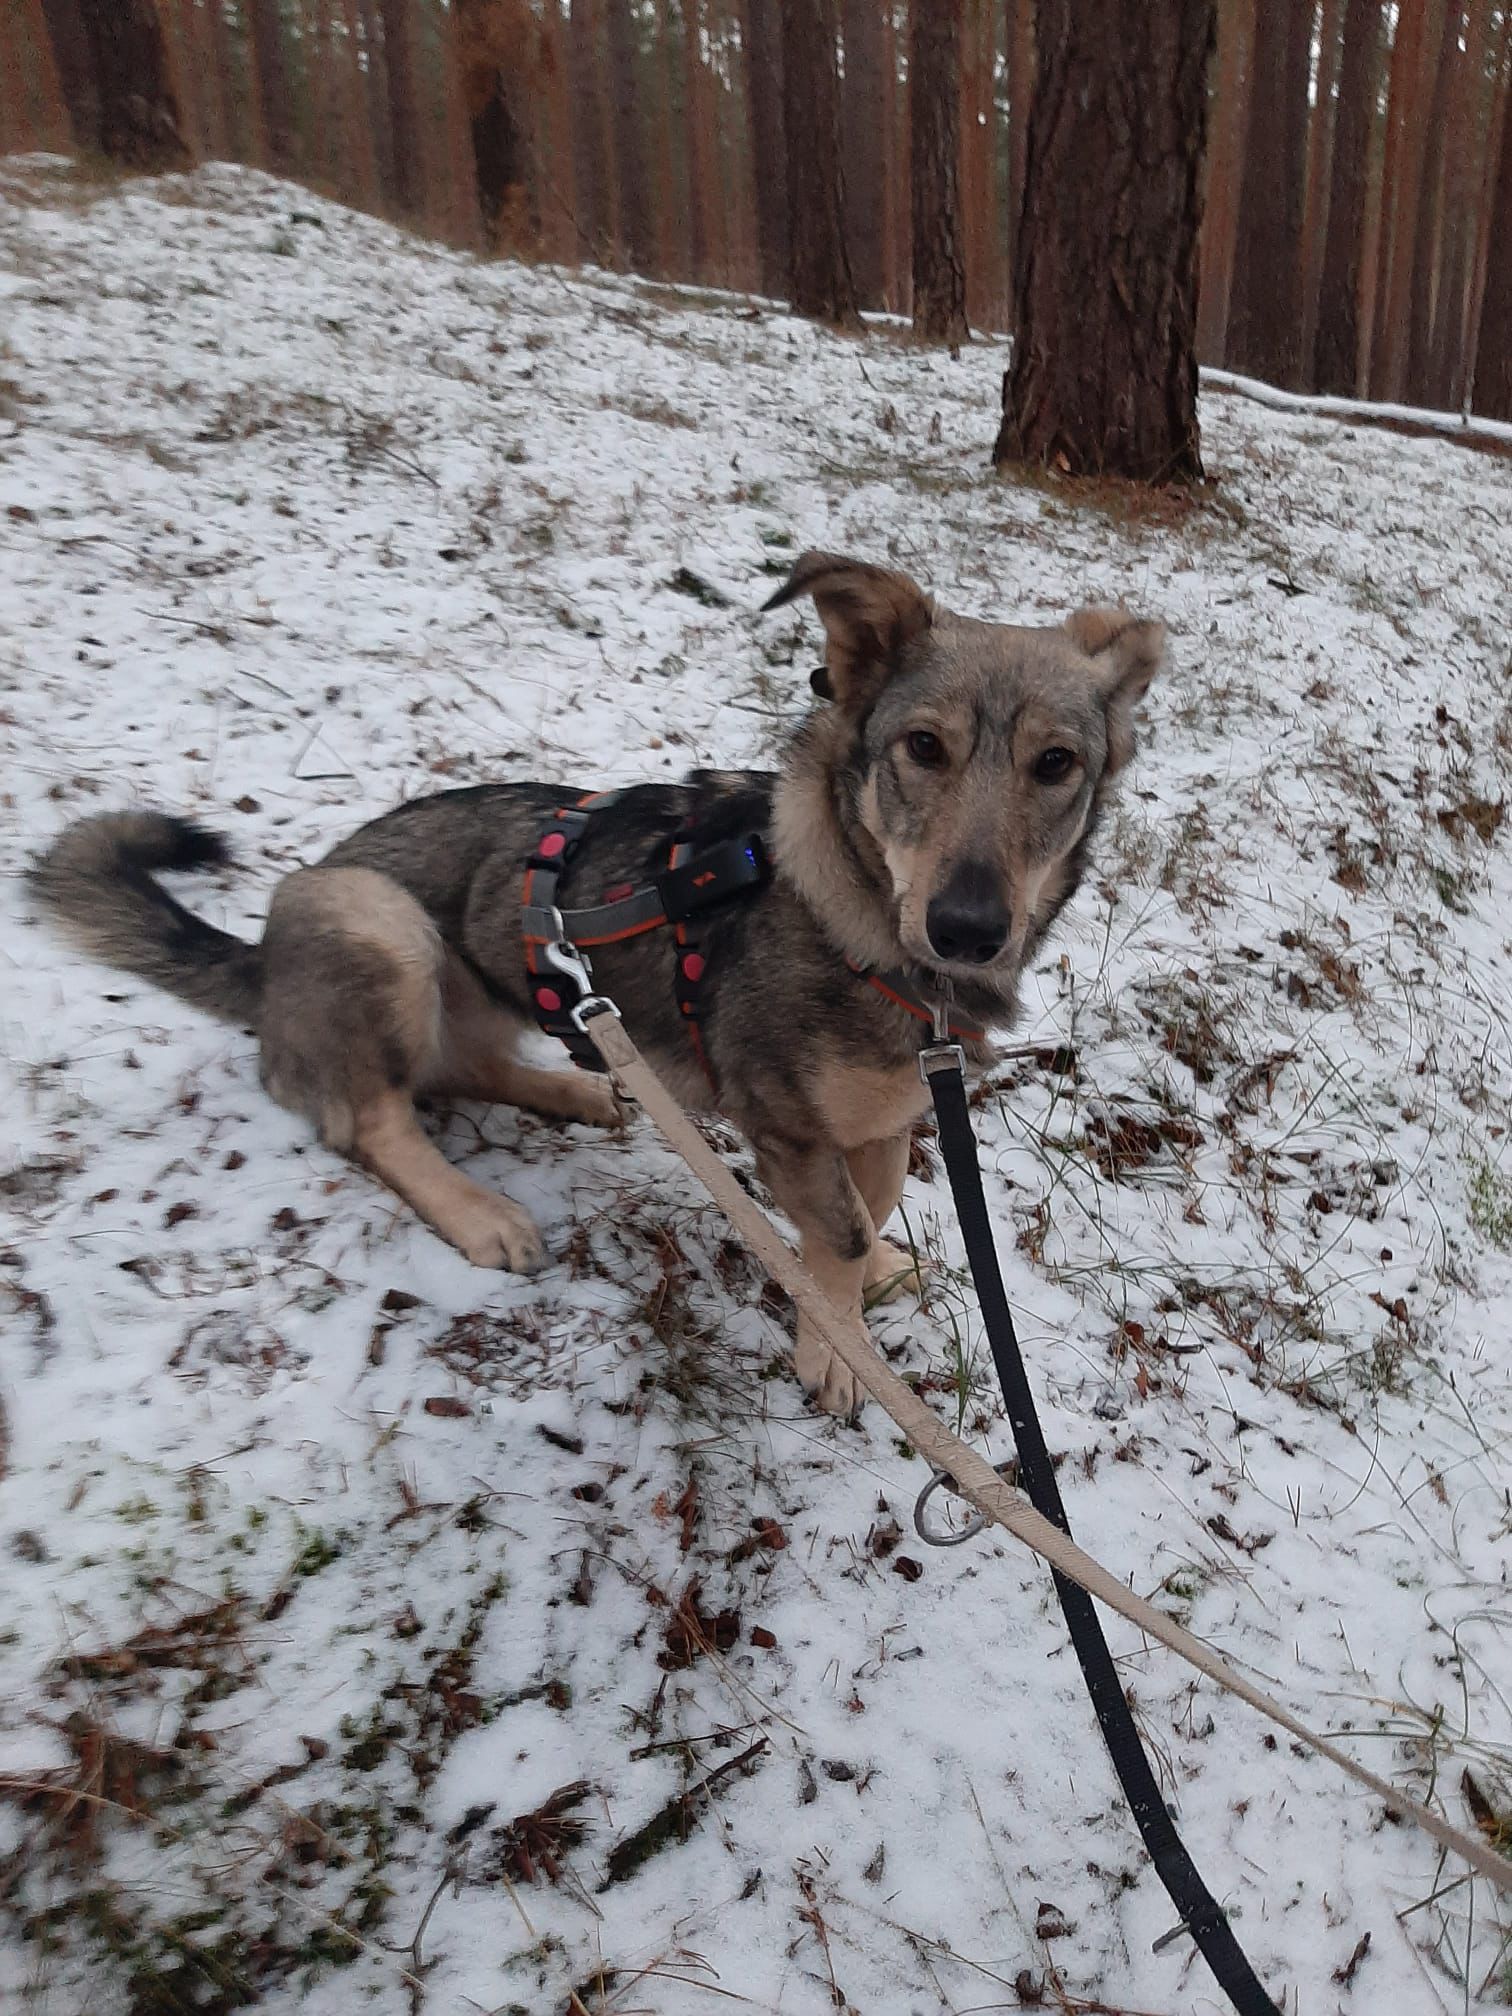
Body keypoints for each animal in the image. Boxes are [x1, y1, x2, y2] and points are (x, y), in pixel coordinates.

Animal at [29, 552, 1162, 1415]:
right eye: (923, 748)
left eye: (1056, 764)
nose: (967, 930)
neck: (864, 926)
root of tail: (264, 964)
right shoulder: (787, 1122)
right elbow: (838, 1227)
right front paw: (836, 1347)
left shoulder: (883, 1116)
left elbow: (868, 1207)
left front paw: (859, 1278)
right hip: (381, 926)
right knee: (371, 1117)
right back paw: (477, 1208)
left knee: (465, 1066)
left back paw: (580, 1089)